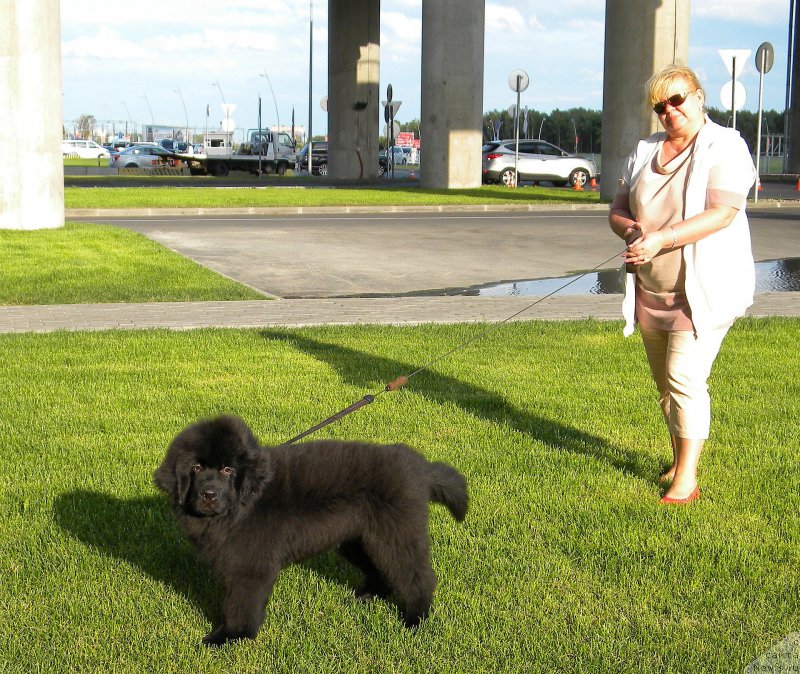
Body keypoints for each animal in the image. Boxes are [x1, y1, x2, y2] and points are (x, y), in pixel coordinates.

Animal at [154, 412, 468, 644]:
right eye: (195, 469)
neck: (244, 505)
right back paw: (369, 596)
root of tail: (421, 467)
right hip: (358, 539)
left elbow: (241, 603)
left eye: (227, 470)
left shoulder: (249, 566)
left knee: (417, 575)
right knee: (383, 569)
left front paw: (232, 636)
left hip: (395, 534)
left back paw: (416, 619)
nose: (208, 495)